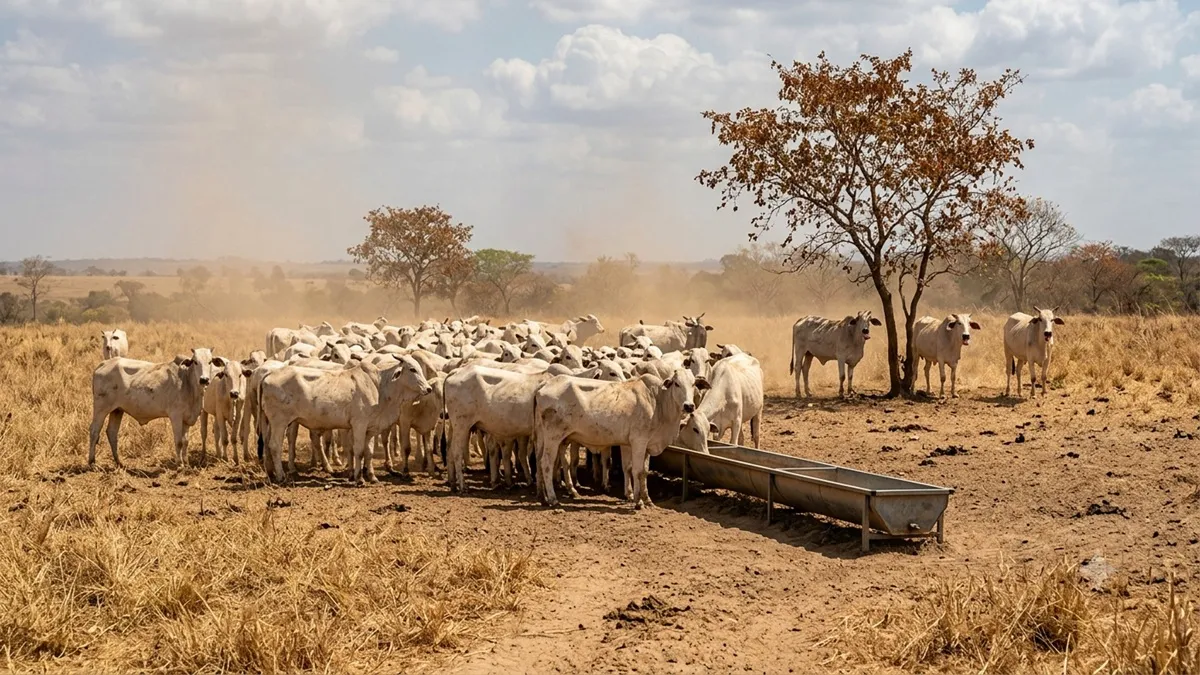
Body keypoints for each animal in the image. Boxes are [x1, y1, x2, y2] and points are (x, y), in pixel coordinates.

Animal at [88, 348, 219, 468]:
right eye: (195, 362)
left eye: (210, 361)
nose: (204, 379)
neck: (188, 382)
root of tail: (104, 363)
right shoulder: (176, 415)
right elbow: (179, 442)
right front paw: (179, 464)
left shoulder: (187, 418)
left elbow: (186, 441)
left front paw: (186, 463)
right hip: (101, 408)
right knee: (94, 431)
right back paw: (92, 462)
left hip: (117, 410)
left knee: (112, 432)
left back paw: (119, 462)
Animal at [259, 356, 432, 484]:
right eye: (412, 369)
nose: (429, 389)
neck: (380, 386)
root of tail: (269, 375)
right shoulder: (359, 424)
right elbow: (359, 451)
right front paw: (359, 478)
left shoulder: (370, 428)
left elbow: (368, 452)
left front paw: (372, 476)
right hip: (280, 421)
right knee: (275, 446)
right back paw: (281, 476)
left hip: (271, 422)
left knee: (268, 444)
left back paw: (271, 473)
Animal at [533, 368, 696, 509]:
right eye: (676, 383)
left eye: (694, 384)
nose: (689, 406)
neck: (657, 402)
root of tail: (544, 384)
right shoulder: (639, 441)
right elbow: (637, 471)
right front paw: (638, 502)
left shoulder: (643, 445)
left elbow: (641, 471)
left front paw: (646, 499)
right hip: (553, 437)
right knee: (546, 463)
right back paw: (553, 499)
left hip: (544, 436)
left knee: (539, 460)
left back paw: (543, 497)